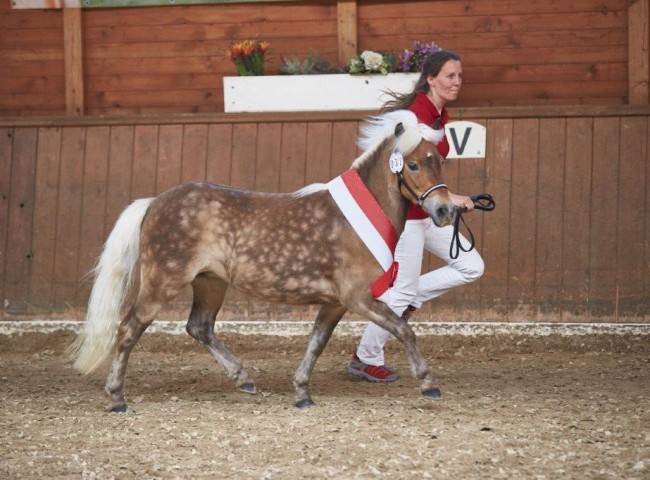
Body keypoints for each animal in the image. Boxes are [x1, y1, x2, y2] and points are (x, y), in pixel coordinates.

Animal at [67, 109, 459, 412]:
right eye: (411, 164)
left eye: (439, 161)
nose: (445, 211)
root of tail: (154, 202)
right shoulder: (358, 298)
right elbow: (404, 329)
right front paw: (429, 384)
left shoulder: (335, 302)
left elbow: (316, 343)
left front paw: (302, 393)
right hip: (162, 281)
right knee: (128, 329)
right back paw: (117, 398)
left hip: (210, 283)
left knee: (199, 327)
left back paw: (244, 379)